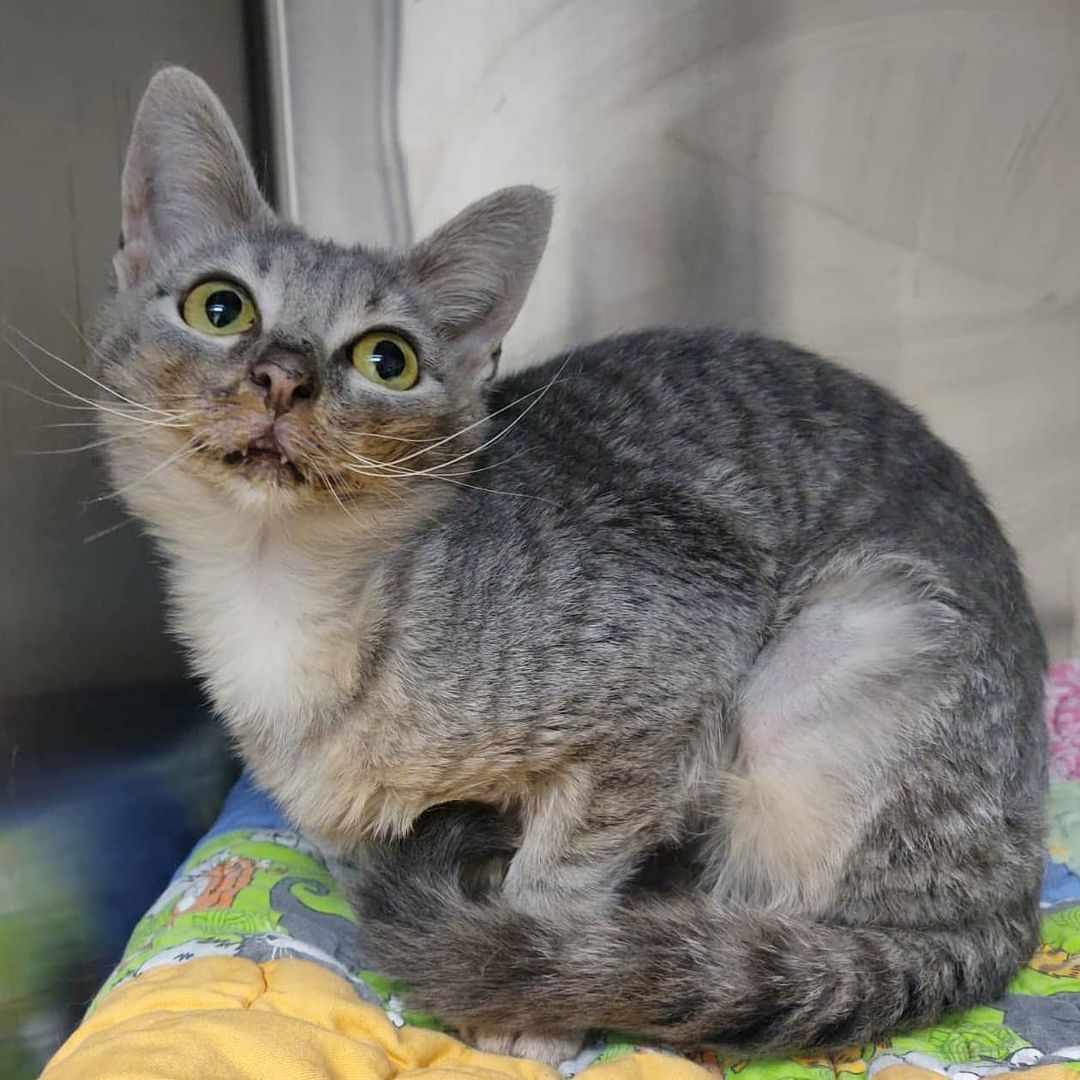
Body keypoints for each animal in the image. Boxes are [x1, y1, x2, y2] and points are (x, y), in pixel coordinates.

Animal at [92, 69, 1045, 1071]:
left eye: (387, 359)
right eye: (220, 308)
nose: (282, 377)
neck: (282, 600)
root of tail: (1012, 900)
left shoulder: (681, 649)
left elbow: (567, 864)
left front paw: (527, 988)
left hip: (841, 647)